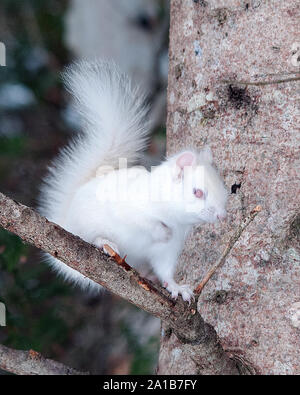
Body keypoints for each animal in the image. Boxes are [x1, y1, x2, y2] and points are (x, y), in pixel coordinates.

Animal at [38, 60, 227, 304]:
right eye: (197, 192)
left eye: (224, 189)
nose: (222, 216)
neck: (174, 218)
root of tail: (65, 219)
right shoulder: (130, 207)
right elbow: (142, 221)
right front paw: (161, 231)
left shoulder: (168, 250)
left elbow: (166, 270)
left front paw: (177, 287)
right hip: (84, 226)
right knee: (91, 237)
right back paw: (104, 242)